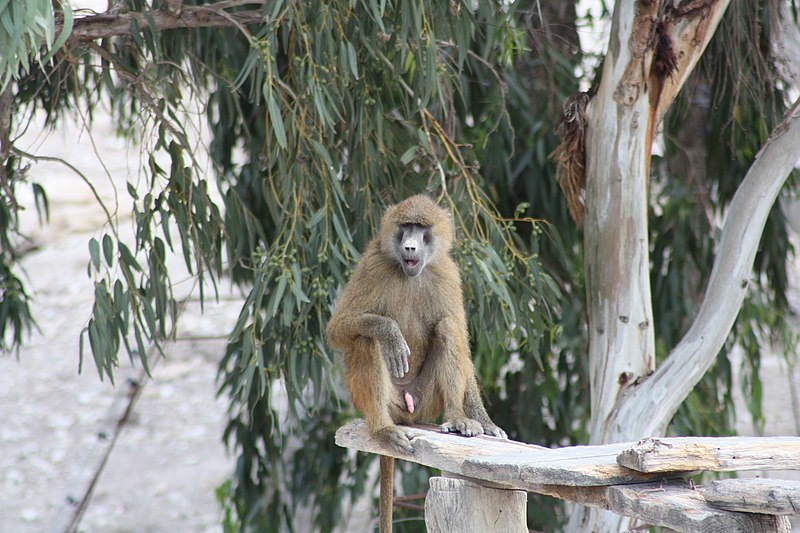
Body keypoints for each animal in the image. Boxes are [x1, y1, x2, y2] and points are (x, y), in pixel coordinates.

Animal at [324, 195, 500, 532]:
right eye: (406, 226)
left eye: (421, 228)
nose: (409, 248)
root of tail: (407, 409)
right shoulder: (372, 266)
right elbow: (338, 329)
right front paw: (390, 333)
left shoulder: (447, 274)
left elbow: (459, 336)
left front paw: (484, 421)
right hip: (387, 403)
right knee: (366, 342)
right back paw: (383, 430)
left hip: (427, 400)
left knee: (447, 328)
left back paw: (457, 418)